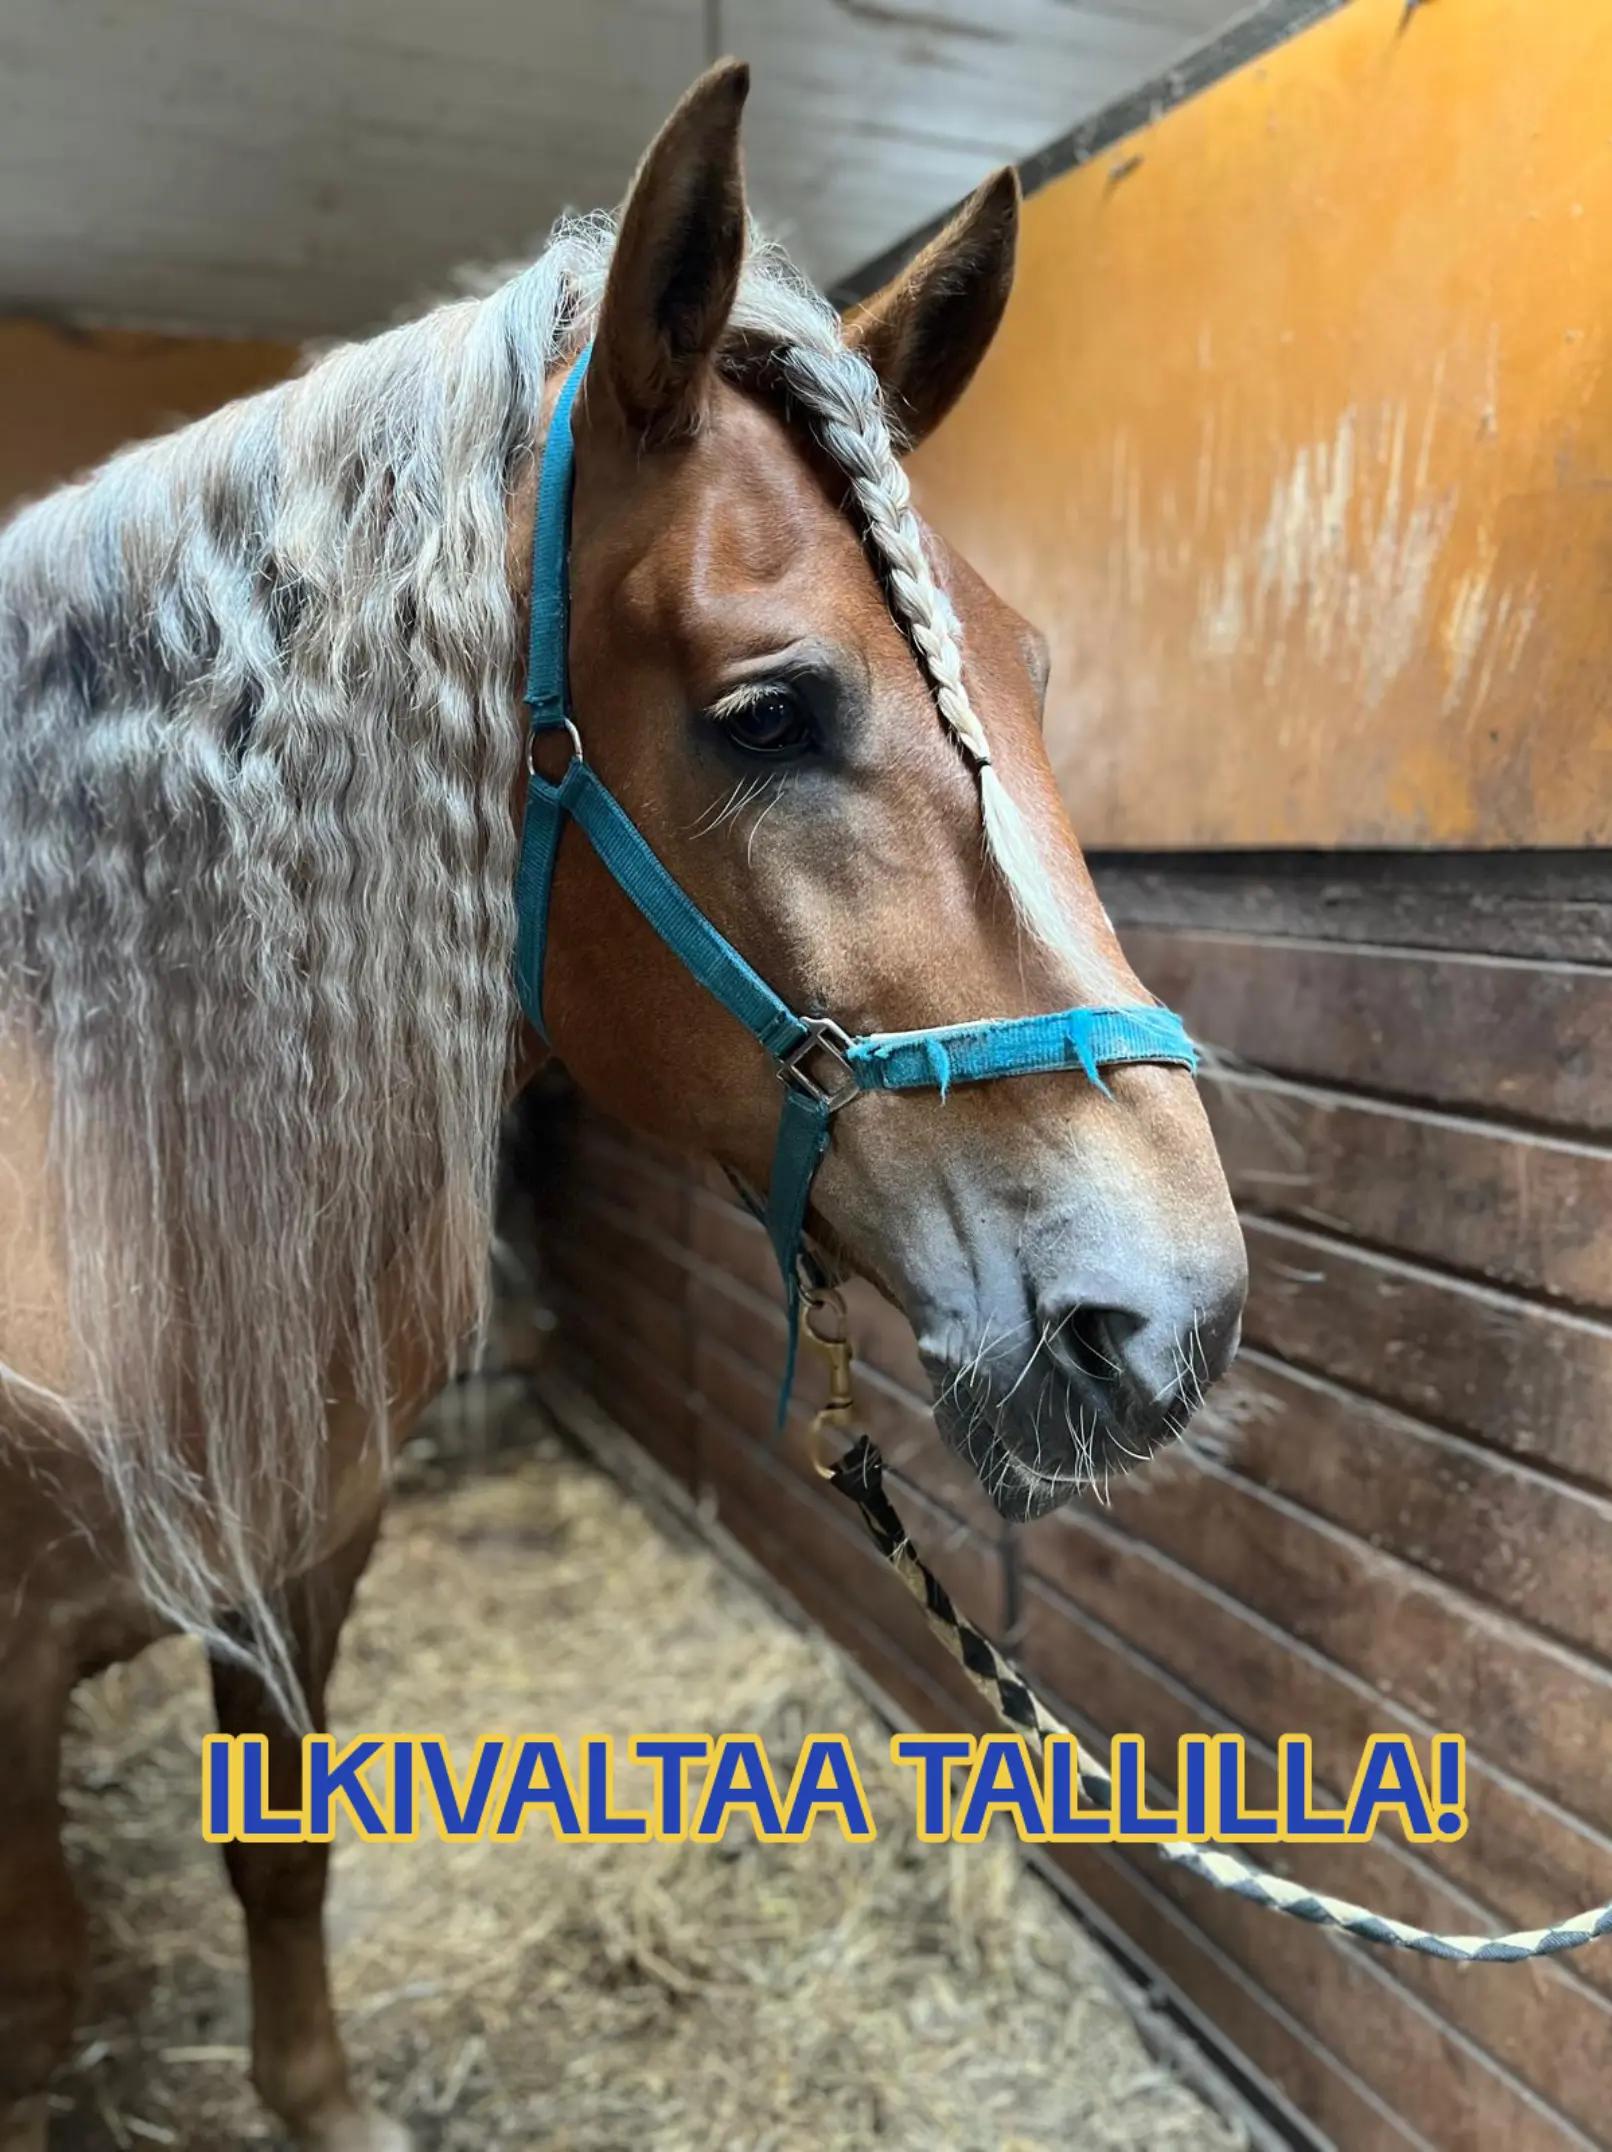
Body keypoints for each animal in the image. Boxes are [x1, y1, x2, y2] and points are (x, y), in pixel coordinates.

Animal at [0, 60, 1247, 2151]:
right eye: (763, 713)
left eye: (1035, 667)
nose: (1172, 1315)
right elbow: (43, 1990)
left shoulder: (302, 1553)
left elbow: (281, 1849)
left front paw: (322, 2106)